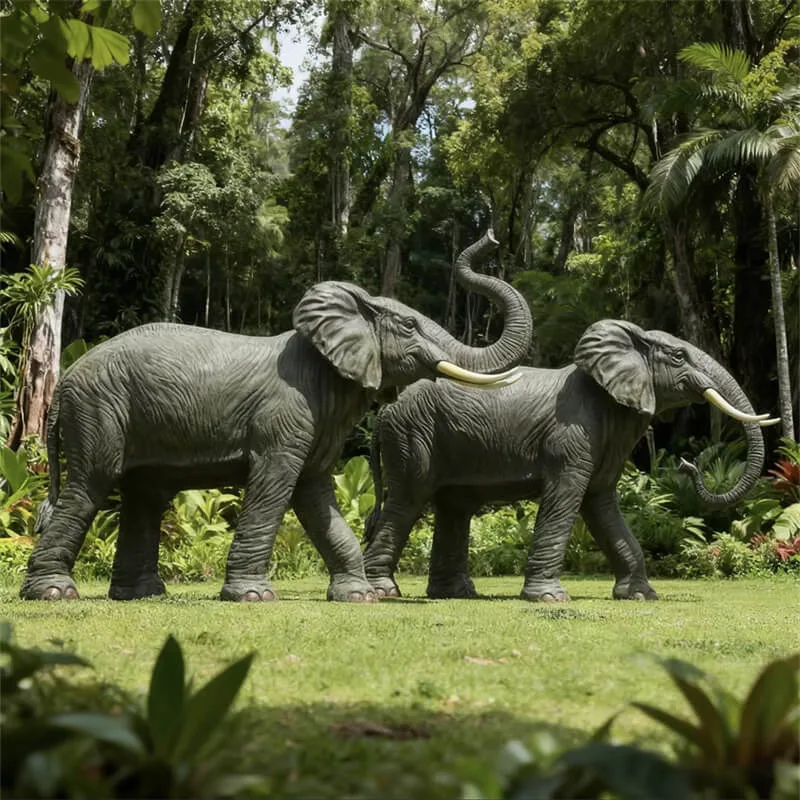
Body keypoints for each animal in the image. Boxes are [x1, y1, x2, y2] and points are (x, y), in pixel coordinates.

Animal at [21, 230, 533, 604]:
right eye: (409, 326)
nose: (491, 238)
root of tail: (63, 385)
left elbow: (315, 493)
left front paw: (358, 597)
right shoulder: (284, 416)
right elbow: (276, 484)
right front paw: (253, 597)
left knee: (143, 494)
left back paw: (142, 596)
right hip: (98, 410)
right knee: (91, 484)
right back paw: (54, 594)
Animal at [362, 319, 779, 602]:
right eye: (679, 356)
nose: (687, 465)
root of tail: (382, 412)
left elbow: (601, 504)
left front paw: (640, 596)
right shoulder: (574, 432)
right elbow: (568, 496)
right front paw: (549, 598)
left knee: (454, 507)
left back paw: (456, 594)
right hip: (412, 436)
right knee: (408, 501)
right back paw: (384, 592)